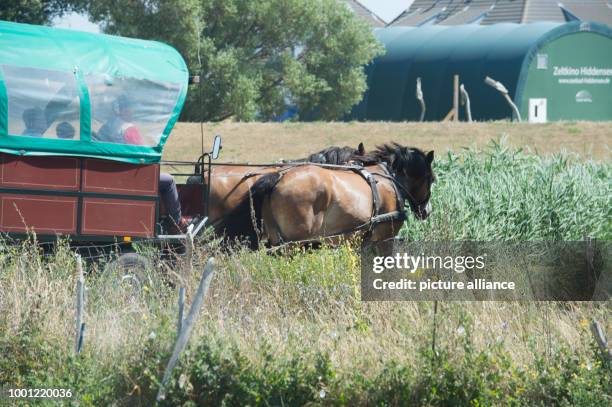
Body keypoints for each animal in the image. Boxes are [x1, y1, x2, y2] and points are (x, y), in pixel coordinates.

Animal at [244, 143, 436, 249]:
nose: (427, 211)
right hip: (295, 243)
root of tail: (279, 177)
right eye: (432, 179)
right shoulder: (385, 239)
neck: (389, 177)